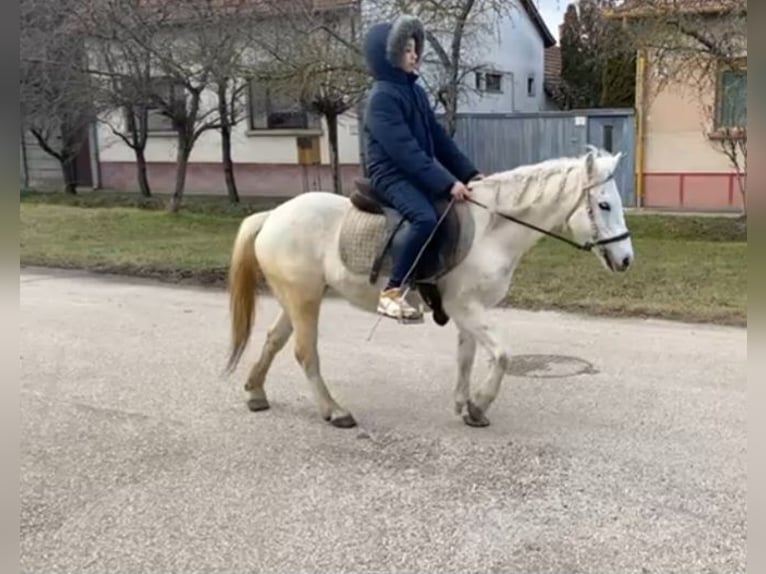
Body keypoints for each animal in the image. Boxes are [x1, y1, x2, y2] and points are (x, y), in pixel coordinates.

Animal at [224, 147, 636, 428]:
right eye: (603, 205)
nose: (627, 259)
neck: (489, 231)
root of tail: (273, 215)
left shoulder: (470, 311)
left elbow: (466, 357)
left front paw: (465, 406)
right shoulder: (465, 307)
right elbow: (502, 355)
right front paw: (480, 403)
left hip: (297, 298)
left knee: (274, 340)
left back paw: (256, 392)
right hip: (305, 299)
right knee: (305, 352)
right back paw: (335, 411)